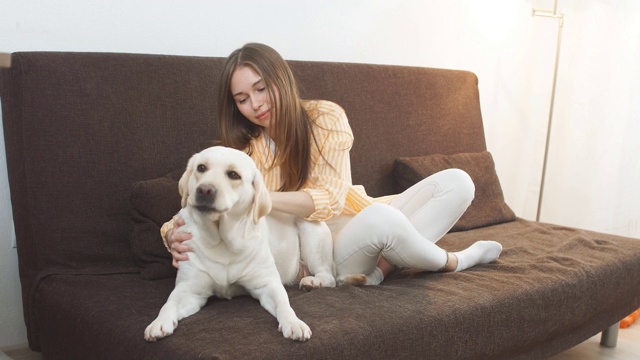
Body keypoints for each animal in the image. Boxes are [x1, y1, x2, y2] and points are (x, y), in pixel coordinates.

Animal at [144, 145, 336, 342]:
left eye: (233, 174)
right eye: (201, 168)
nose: (204, 190)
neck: (223, 240)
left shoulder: (267, 284)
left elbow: (284, 303)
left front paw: (294, 323)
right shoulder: (189, 289)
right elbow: (169, 303)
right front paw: (159, 323)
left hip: (309, 234)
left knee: (329, 277)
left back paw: (313, 281)